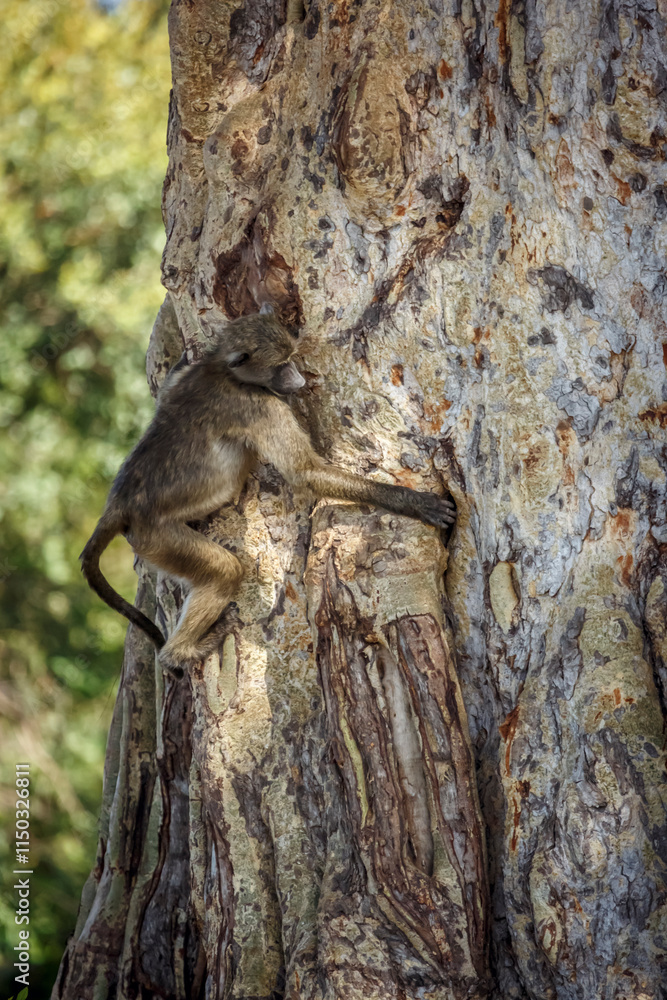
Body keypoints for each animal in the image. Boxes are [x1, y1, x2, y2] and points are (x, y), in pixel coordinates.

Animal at [81, 307, 456, 677]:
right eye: (280, 365)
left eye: (291, 359)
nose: (298, 380)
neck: (222, 370)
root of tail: (119, 502)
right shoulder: (259, 405)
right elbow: (304, 473)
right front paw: (415, 503)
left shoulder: (183, 378)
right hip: (155, 538)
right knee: (225, 572)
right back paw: (182, 653)